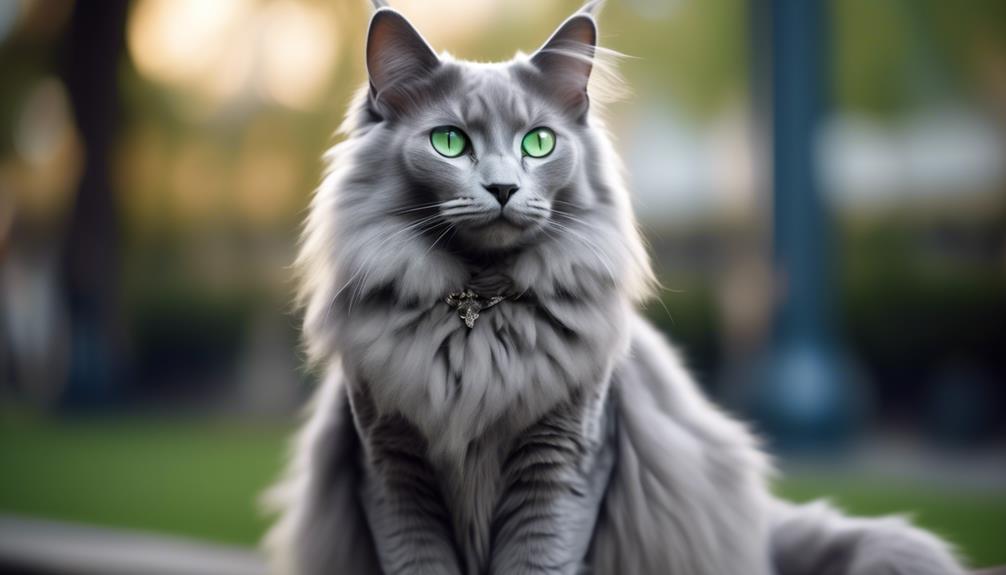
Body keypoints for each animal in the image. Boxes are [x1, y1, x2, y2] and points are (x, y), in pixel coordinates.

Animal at [263, 2, 969, 570]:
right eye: (450, 142)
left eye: (538, 142)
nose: (503, 188)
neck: (479, 311)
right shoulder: (391, 467)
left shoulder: (562, 462)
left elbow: (537, 561)